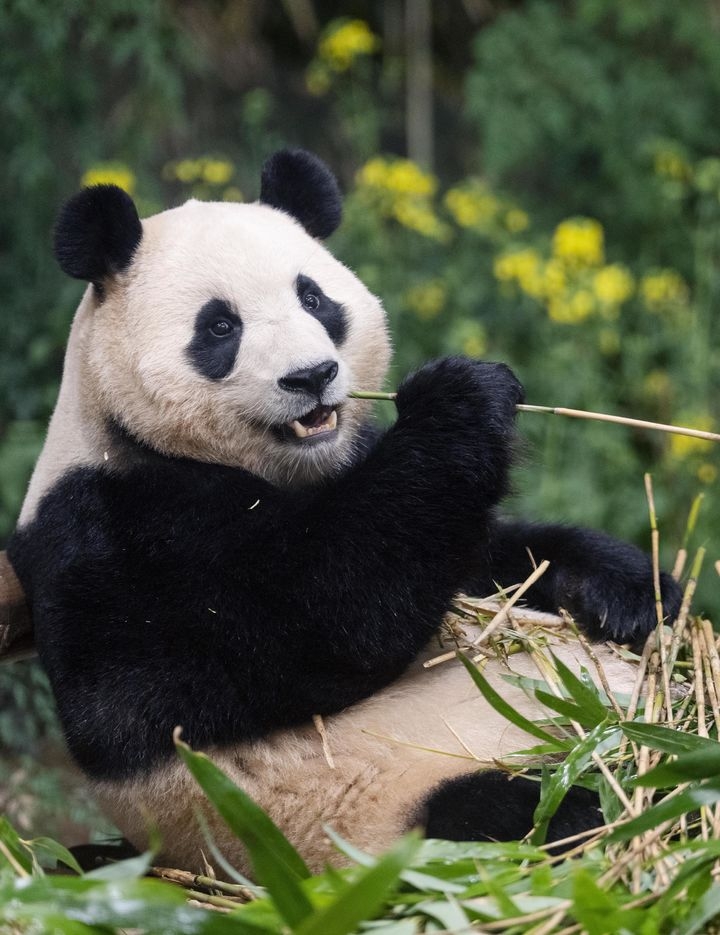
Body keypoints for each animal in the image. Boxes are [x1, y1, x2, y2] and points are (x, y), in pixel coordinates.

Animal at [8, 149, 681, 876]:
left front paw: (629, 591)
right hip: (386, 815)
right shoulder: (115, 533)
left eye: (313, 298)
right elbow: (326, 616)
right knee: (539, 812)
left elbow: (478, 554)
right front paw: (462, 394)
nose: (312, 375)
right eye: (220, 326)